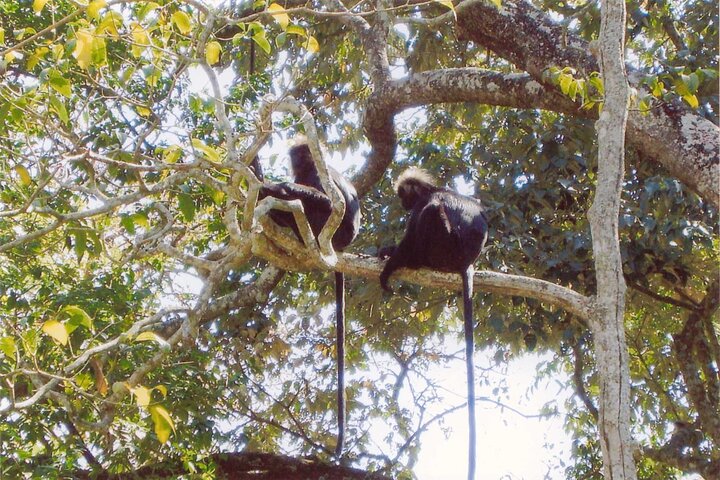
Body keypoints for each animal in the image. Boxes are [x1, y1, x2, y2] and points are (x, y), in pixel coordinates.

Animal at [257, 140, 361, 458]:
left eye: (304, 154)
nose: (300, 158)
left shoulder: (317, 174)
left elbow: (329, 202)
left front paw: (280, 186)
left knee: (315, 206)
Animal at [378, 167, 488, 480]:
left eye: (403, 195)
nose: (402, 203)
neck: (433, 189)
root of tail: (465, 262)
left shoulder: (420, 206)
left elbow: (414, 227)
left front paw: (390, 262)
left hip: (441, 246)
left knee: (430, 216)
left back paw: (410, 261)